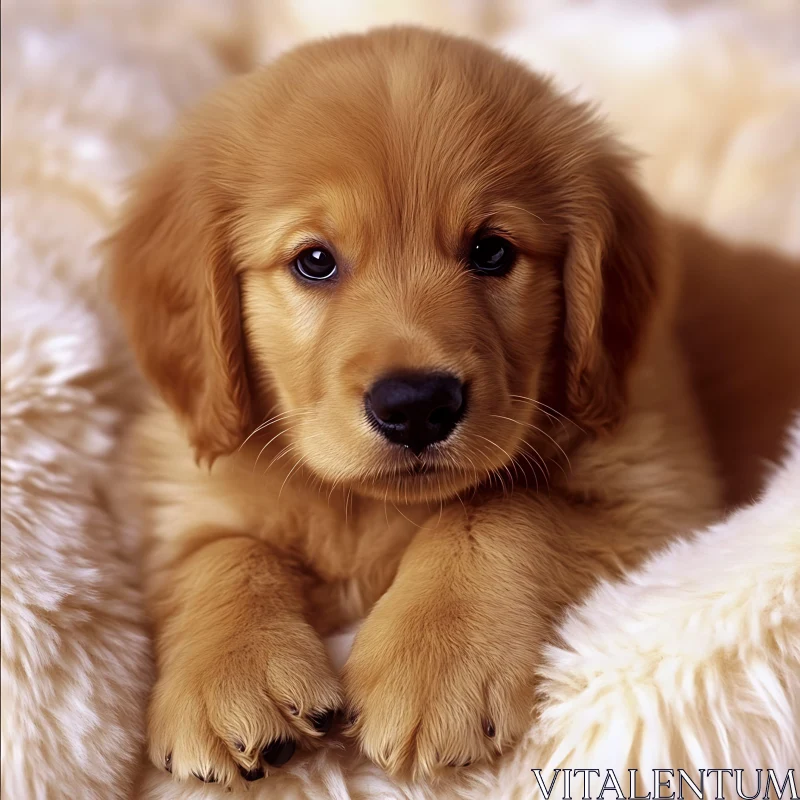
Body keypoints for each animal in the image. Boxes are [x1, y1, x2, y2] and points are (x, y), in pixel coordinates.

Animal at [108, 25, 720, 788]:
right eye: (314, 261)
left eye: (491, 251)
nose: (418, 405)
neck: (368, 510)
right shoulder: (175, 493)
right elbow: (223, 549)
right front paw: (228, 672)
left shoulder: (658, 496)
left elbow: (497, 507)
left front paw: (434, 660)